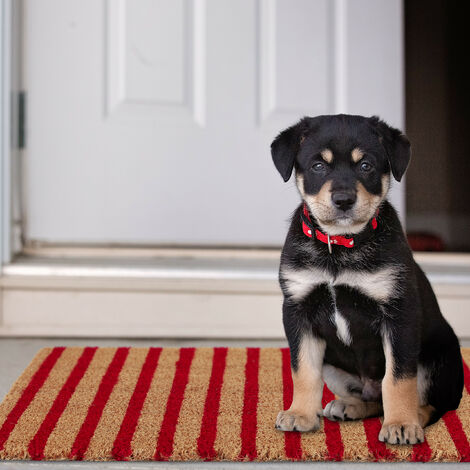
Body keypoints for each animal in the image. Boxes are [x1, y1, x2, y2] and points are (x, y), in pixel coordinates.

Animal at [272, 114, 462, 444]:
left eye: (366, 165)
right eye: (318, 165)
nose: (344, 200)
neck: (339, 246)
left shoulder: (399, 313)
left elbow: (398, 378)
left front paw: (401, 424)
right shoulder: (298, 309)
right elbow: (303, 370)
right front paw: (300, 415)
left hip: (436, 362)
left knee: (429, 404)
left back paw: (412, 419)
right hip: (334, 367)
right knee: (373, 399)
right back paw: (348, 406)